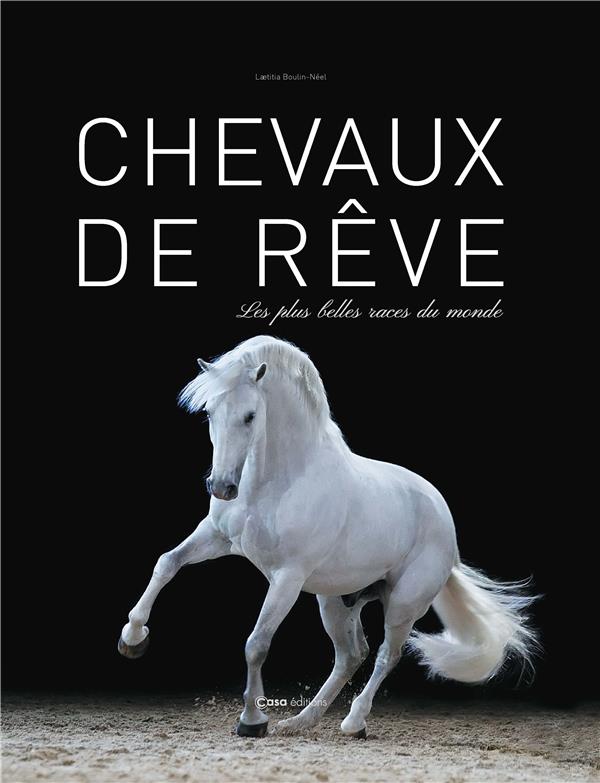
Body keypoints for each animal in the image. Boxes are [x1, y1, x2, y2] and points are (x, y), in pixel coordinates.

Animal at [118, 335, 537, 738]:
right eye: (209, 412)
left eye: (250, 416)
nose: (221, 487)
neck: (279, 479)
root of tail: (444, 523)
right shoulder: (216, 538)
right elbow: (167, 563)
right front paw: (133, 638)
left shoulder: (287, 577)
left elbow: (257, 644)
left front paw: (252, 721)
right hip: (335, 600)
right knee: (351, 654)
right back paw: (300, 722)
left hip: (403, 602)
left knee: (386, 655)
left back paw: (353, 722)